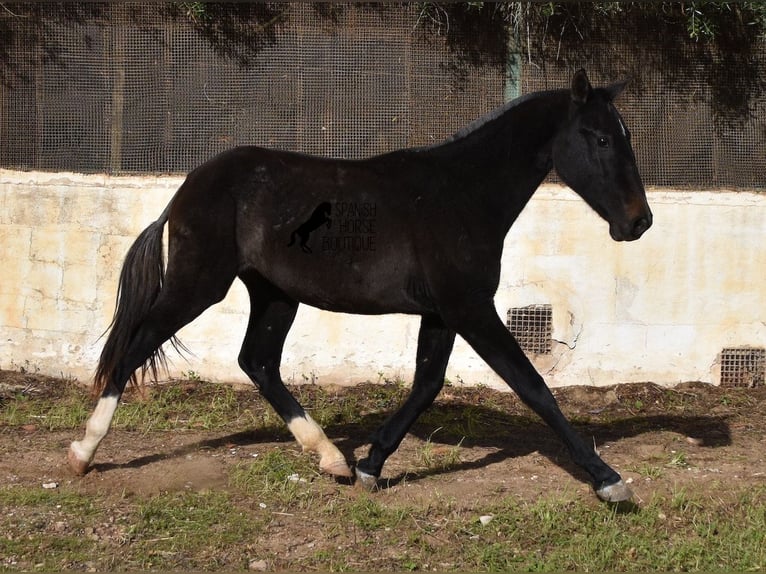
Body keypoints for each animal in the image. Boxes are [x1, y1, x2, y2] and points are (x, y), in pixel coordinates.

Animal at [69, 71, 652, 504]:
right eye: (601, 138)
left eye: (625, 137)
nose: (639, 222)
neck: (461, 195)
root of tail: (188, 187)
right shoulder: (469, 307)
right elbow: (532, 386)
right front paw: (608, 480)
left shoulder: (442, 312)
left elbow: (427, 384)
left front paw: (371, 465)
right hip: (199, 284)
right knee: (134, 347)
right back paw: (83, 452)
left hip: (275, 295)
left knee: (257, 362)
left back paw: (332, 458)